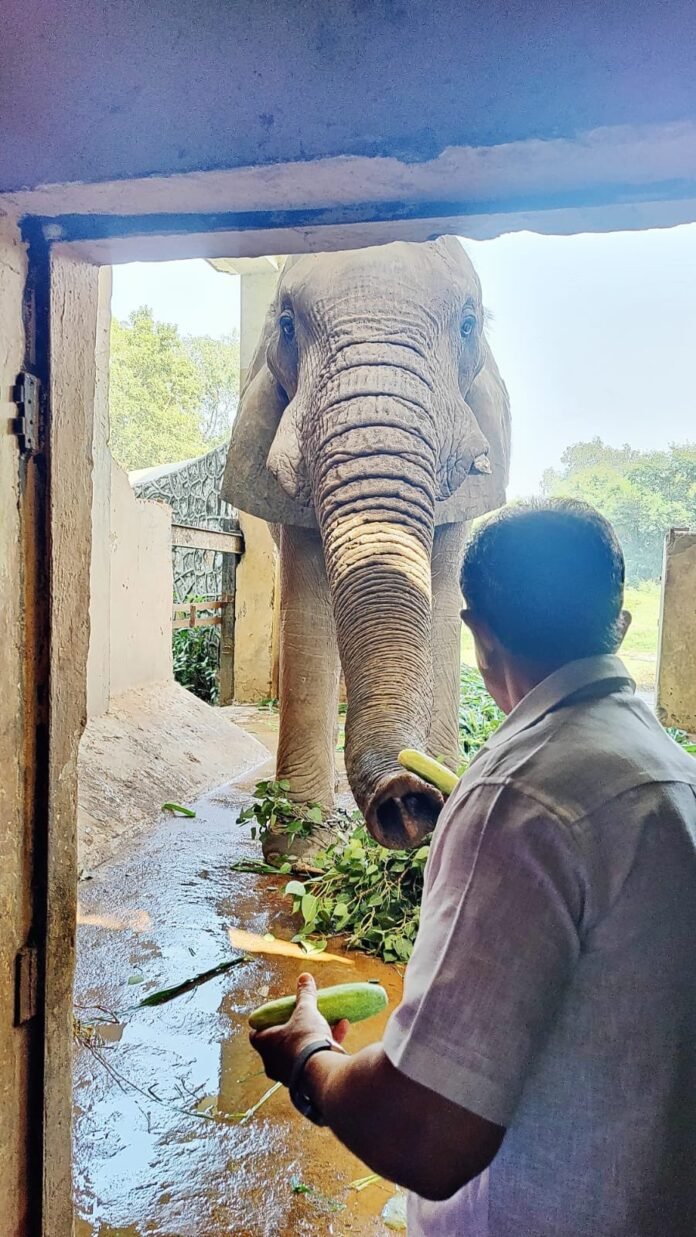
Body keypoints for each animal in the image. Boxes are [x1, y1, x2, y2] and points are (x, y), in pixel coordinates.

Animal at [222, 236, 510, 853]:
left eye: (469, 324)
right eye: (287, 324)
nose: (405, 798)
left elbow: (442, 606)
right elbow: (309, 615)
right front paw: (301, 850)